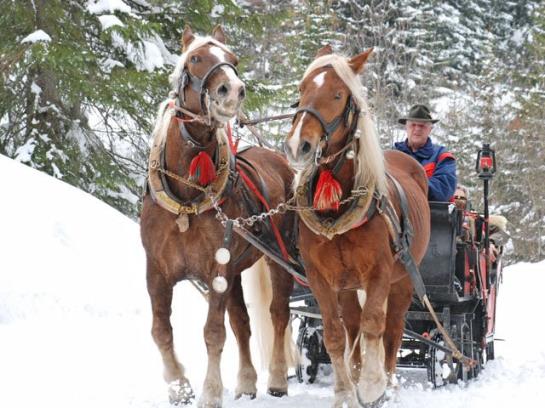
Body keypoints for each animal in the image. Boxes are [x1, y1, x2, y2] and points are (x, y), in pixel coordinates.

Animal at [138, 27, 296, 406]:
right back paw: (246, 383)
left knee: (279, 314)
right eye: (195, 58)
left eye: (234, 59)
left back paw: (277, 379)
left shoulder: (216, 272)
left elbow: (213, 333)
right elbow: (160, 330)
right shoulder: (157, 271)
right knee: (242, 322)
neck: (186, 198)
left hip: (279, 258)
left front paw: (210, 392)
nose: (232, 91)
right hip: (238, 269)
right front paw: (179, 385)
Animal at [284, 46, 430, 406]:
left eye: (338, 95)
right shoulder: (320, 278)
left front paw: (372, 386)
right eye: (302, 89)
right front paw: (345, 391)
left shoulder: (380, 272)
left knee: (392, 330)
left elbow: (374, 325)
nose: (298, 146)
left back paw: (388, 383)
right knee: (352, 324)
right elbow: (335, 335)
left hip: (404, 280)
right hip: (348, 285)